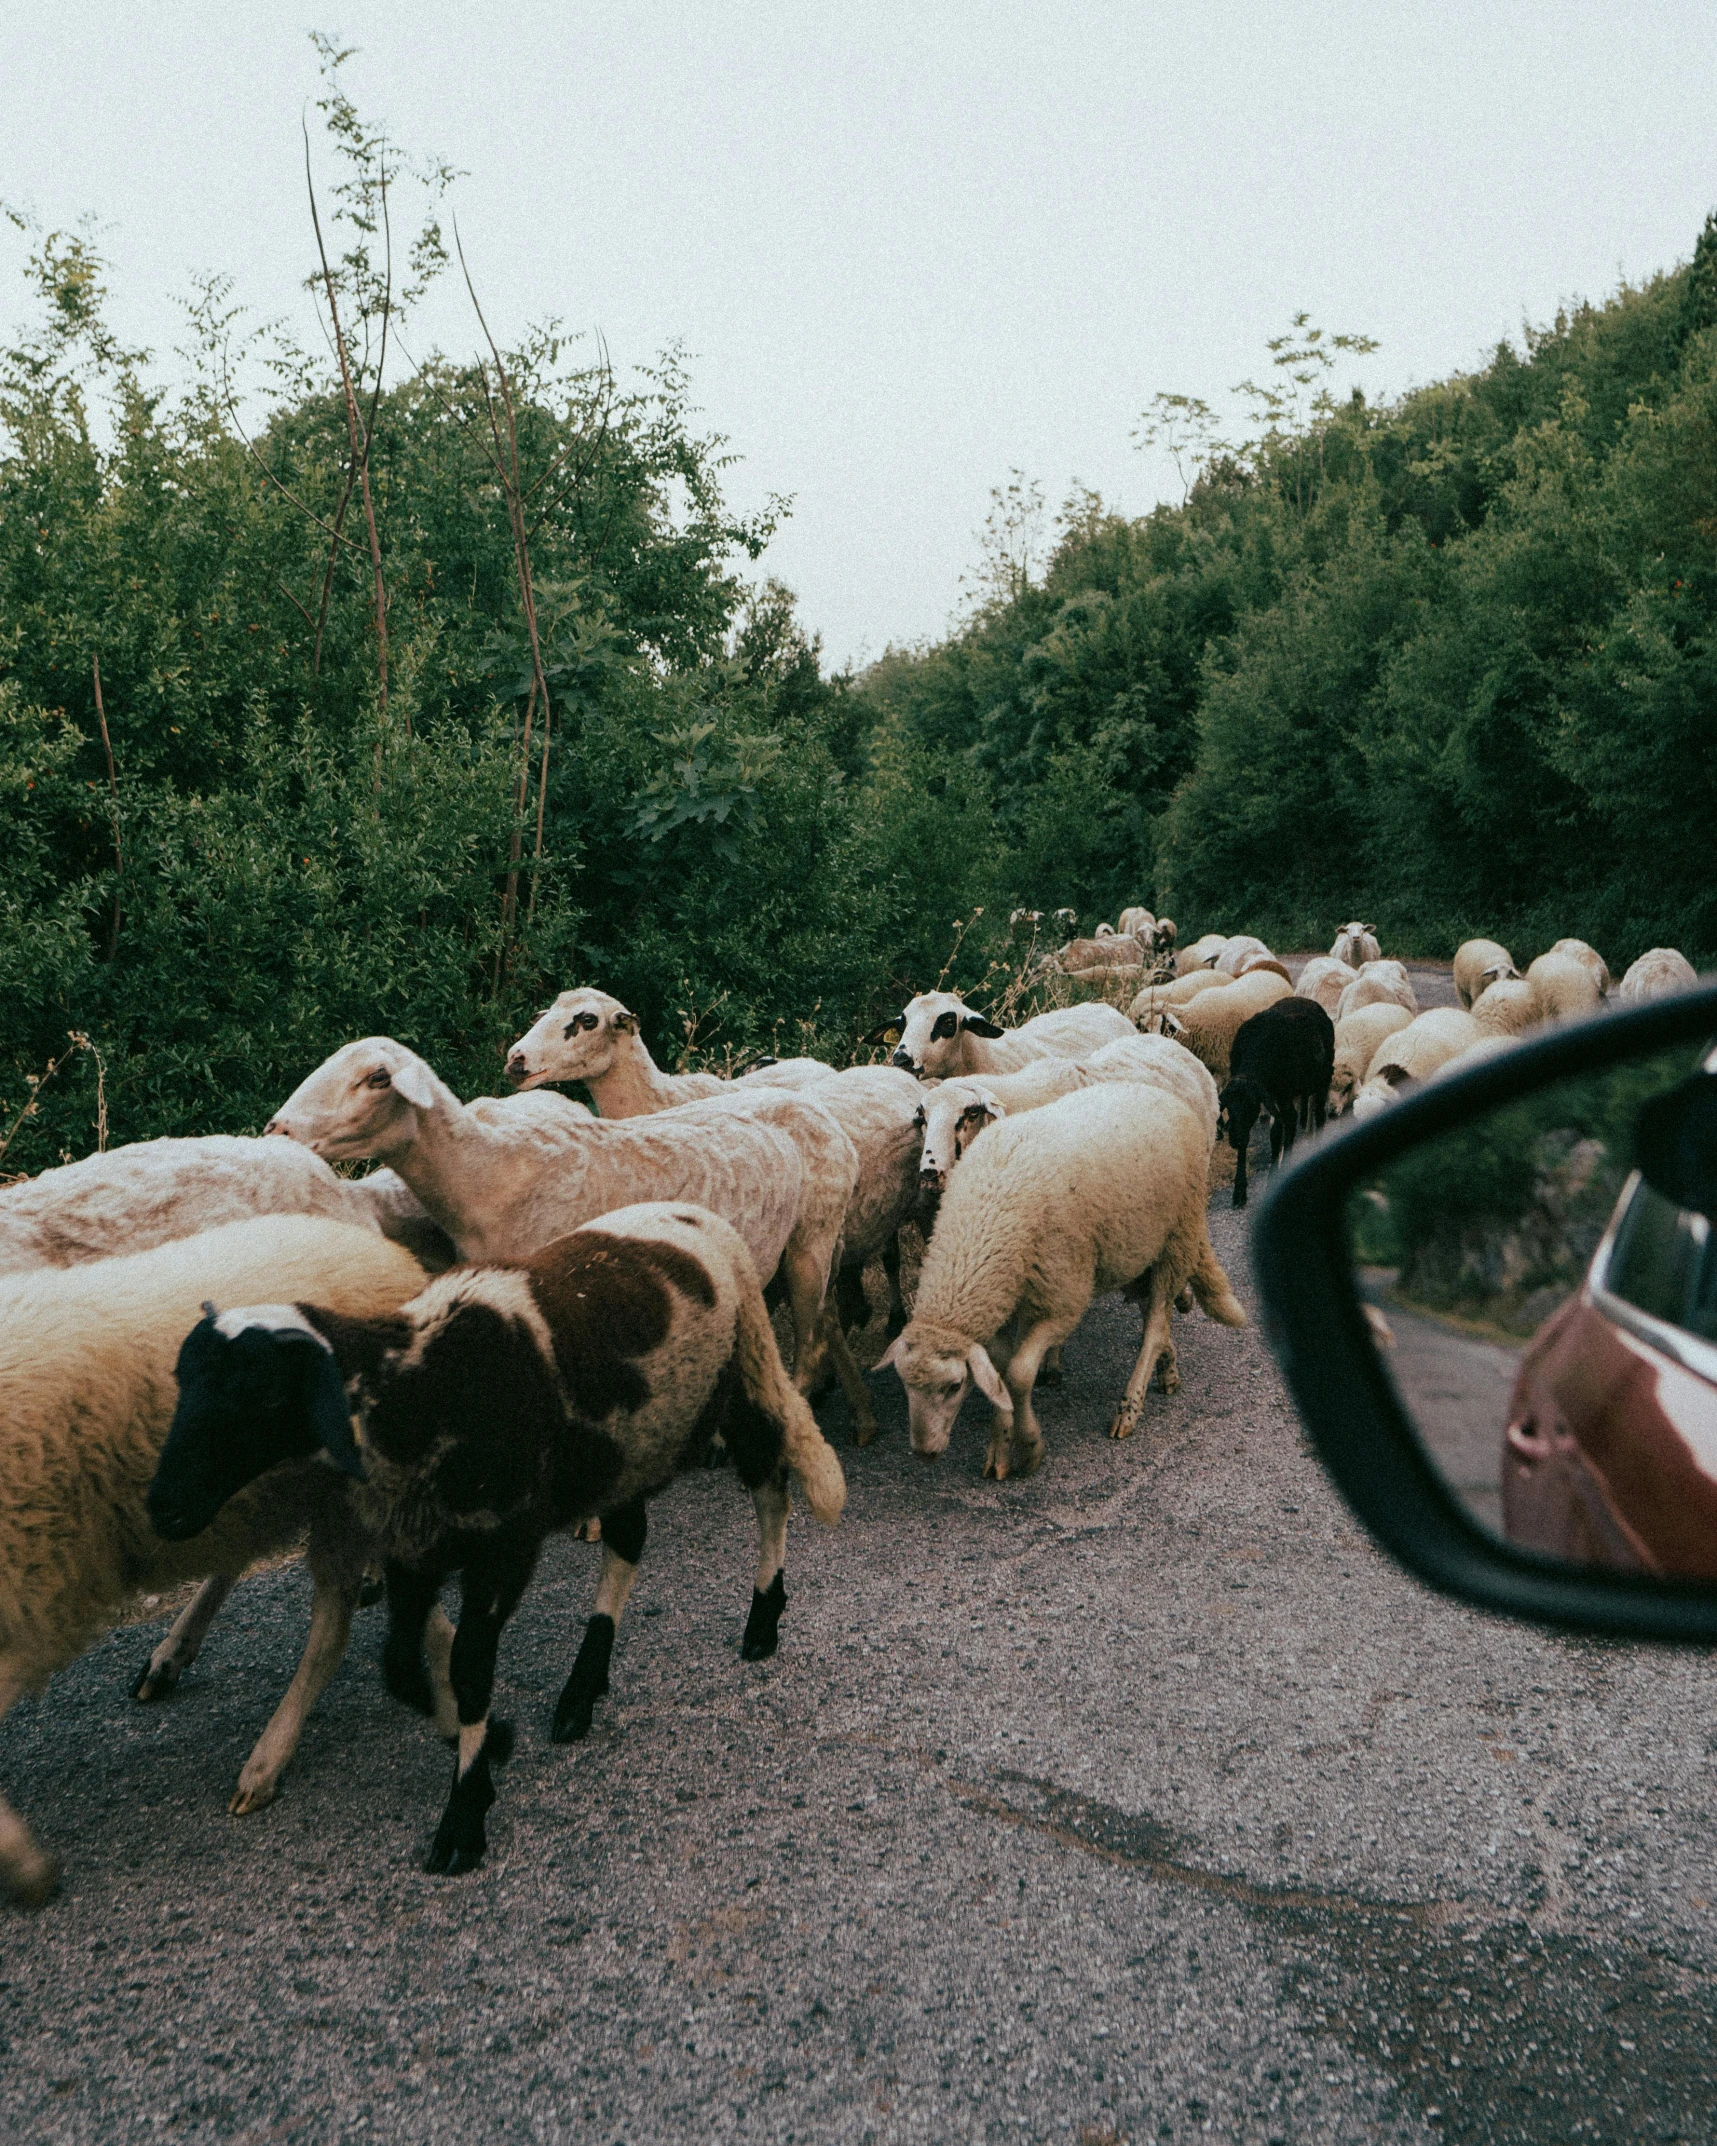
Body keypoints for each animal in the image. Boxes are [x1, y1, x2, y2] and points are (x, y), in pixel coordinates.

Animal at [0, 1218, 433, 1905]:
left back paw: (266, 1760)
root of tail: (379, 1244)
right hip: (241, 1494)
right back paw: (174, 1652)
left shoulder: (41, 1593)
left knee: (330, 1622)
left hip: (338, 1481)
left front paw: (25, 1868)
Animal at [879, 1090, 1244, 1476]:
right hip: (1136, 1247)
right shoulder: (1002, 1302)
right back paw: (1168, 1372)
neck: (988, 1213)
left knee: (1155, 1327)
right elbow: (1000, 1375)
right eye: (904, 1384)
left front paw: (1030, 1448)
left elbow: (1019, 1374)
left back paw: (1129, 1408)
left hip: (1178, 1235)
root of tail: (1161, 1095)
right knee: (1152, 1315)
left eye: (954, 1386)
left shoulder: (1062, 1301)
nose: (924, 1452)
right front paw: (999, 1450)